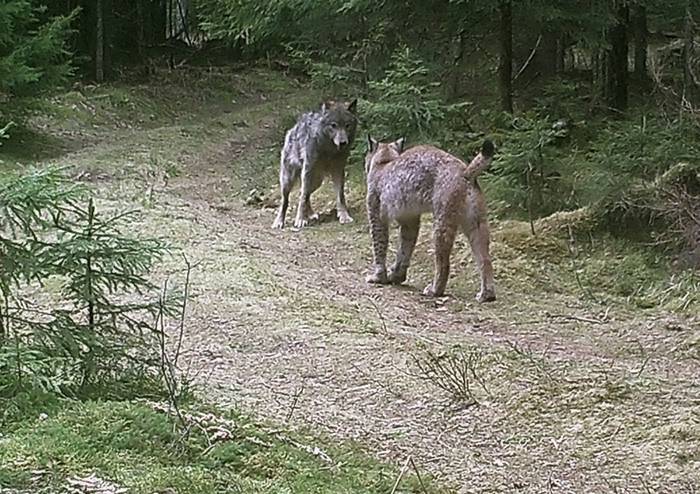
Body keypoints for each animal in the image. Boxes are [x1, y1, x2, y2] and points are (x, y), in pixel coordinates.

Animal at [272, 101, 358, 232]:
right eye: (333, 125)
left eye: (347, 125)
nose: (343, 143)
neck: (329, 149)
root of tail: (292, 129)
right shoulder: (308, 169)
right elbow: (302, 198)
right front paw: (300, 219)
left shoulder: (339, 170)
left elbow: (340, 196)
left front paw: (344, 216)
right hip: (289, 180)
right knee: (287, 200)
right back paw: (279, 221)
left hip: (317, 181)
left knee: (305, 194)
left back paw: (311, 214)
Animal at [364, 137, 494, 302]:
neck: (384, 161)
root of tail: (463, 170)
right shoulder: (409, 220)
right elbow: (405, 248)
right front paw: (397, 276)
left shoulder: (376, 216)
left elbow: (379, 247)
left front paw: (378, 277)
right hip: (476, 222)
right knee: (485, 259)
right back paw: (487, 294)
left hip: (442, 220)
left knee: (443, 262)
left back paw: (434, 290)